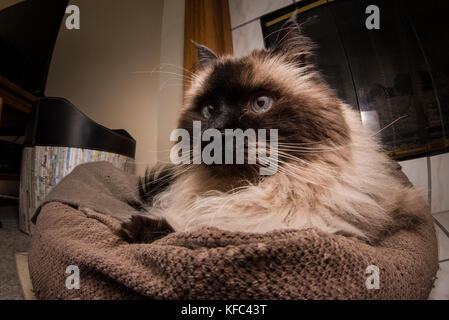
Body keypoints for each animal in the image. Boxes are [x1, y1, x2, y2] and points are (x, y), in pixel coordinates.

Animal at [117, 15, 426, 245]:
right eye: (209, 110)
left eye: (260, 103)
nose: (215, 132)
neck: (249, 191)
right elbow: (176, 227)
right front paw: (133, 230)